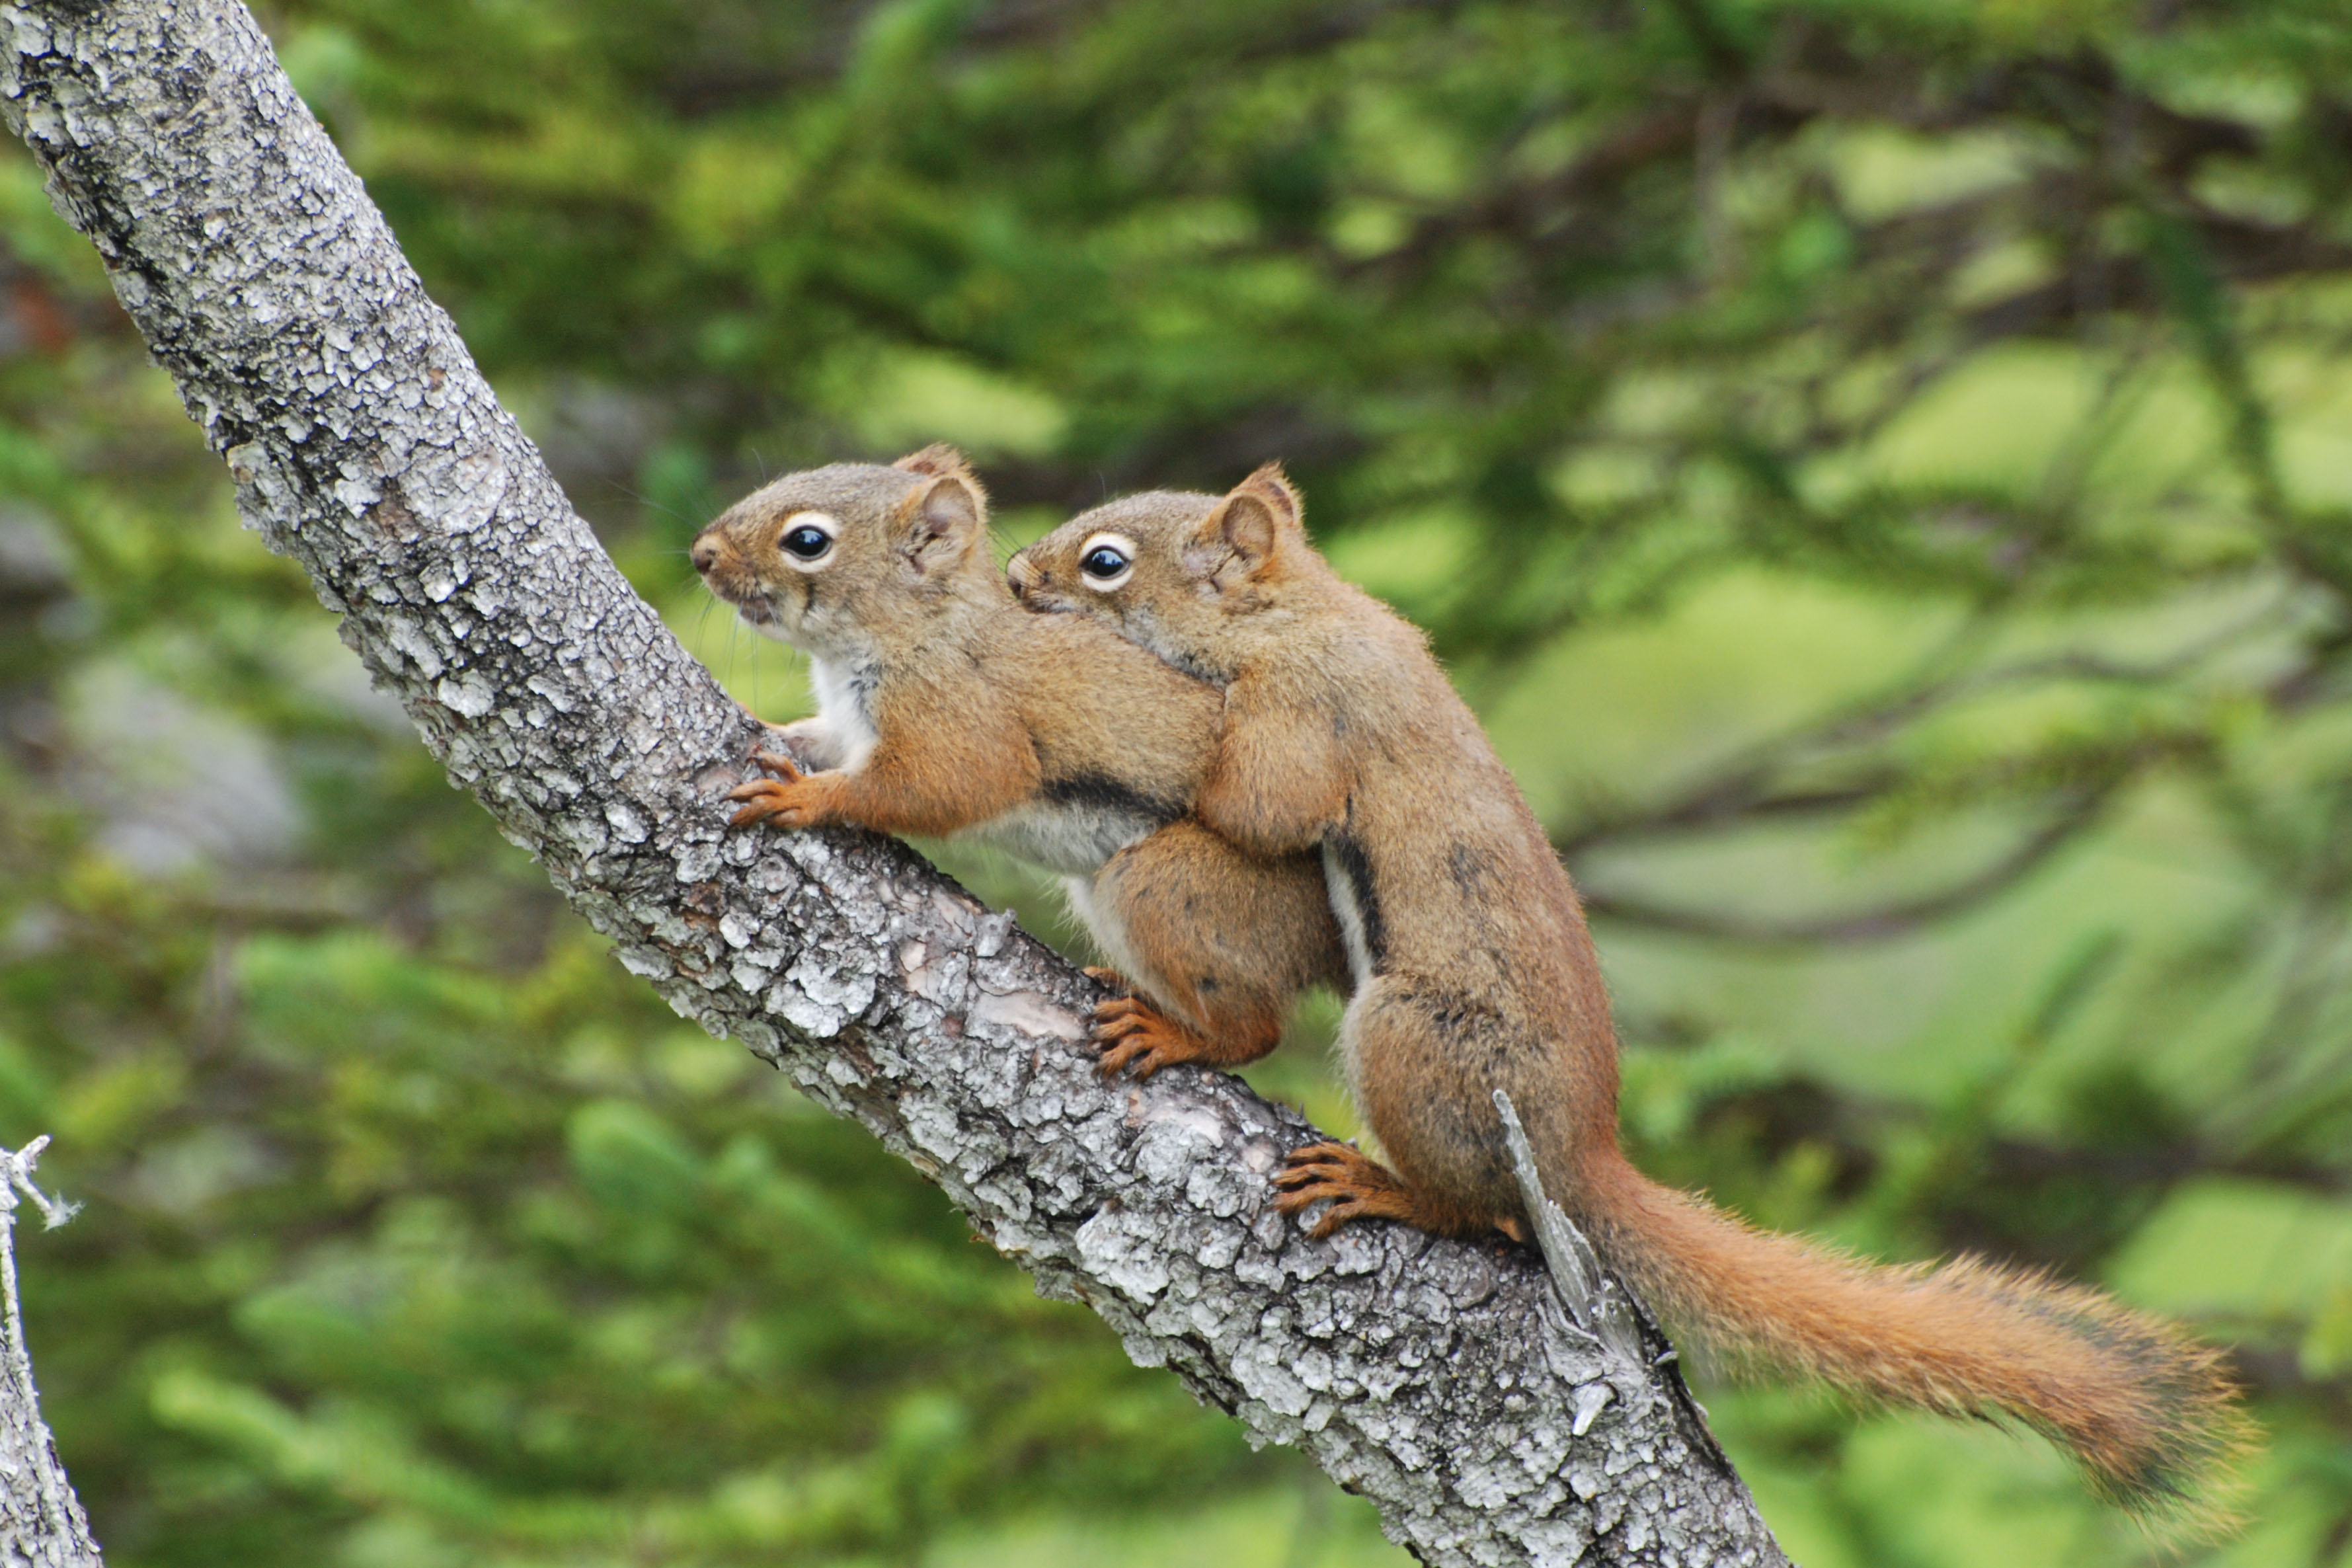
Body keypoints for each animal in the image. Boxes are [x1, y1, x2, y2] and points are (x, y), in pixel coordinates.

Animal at [690, 446, 1346, 1078]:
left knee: (1258, 1033)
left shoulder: (960, 715)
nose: (702, 555)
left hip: (1175, 888)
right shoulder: (847, 728)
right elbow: (816, 739)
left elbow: (946, 784)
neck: (923, 630)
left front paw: (806, 797)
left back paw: (1179, 1036)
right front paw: (764, 722)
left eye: (807, 541)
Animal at [1005, 465, 2246, 1522]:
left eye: (1105, 561)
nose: (1015, 576)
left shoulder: (1305, 711)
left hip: (1411, 1039)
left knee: (1456, 1196)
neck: (1294, 610)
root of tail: (1580, 1156)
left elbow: (1254, 803)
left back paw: (1359, 1167)